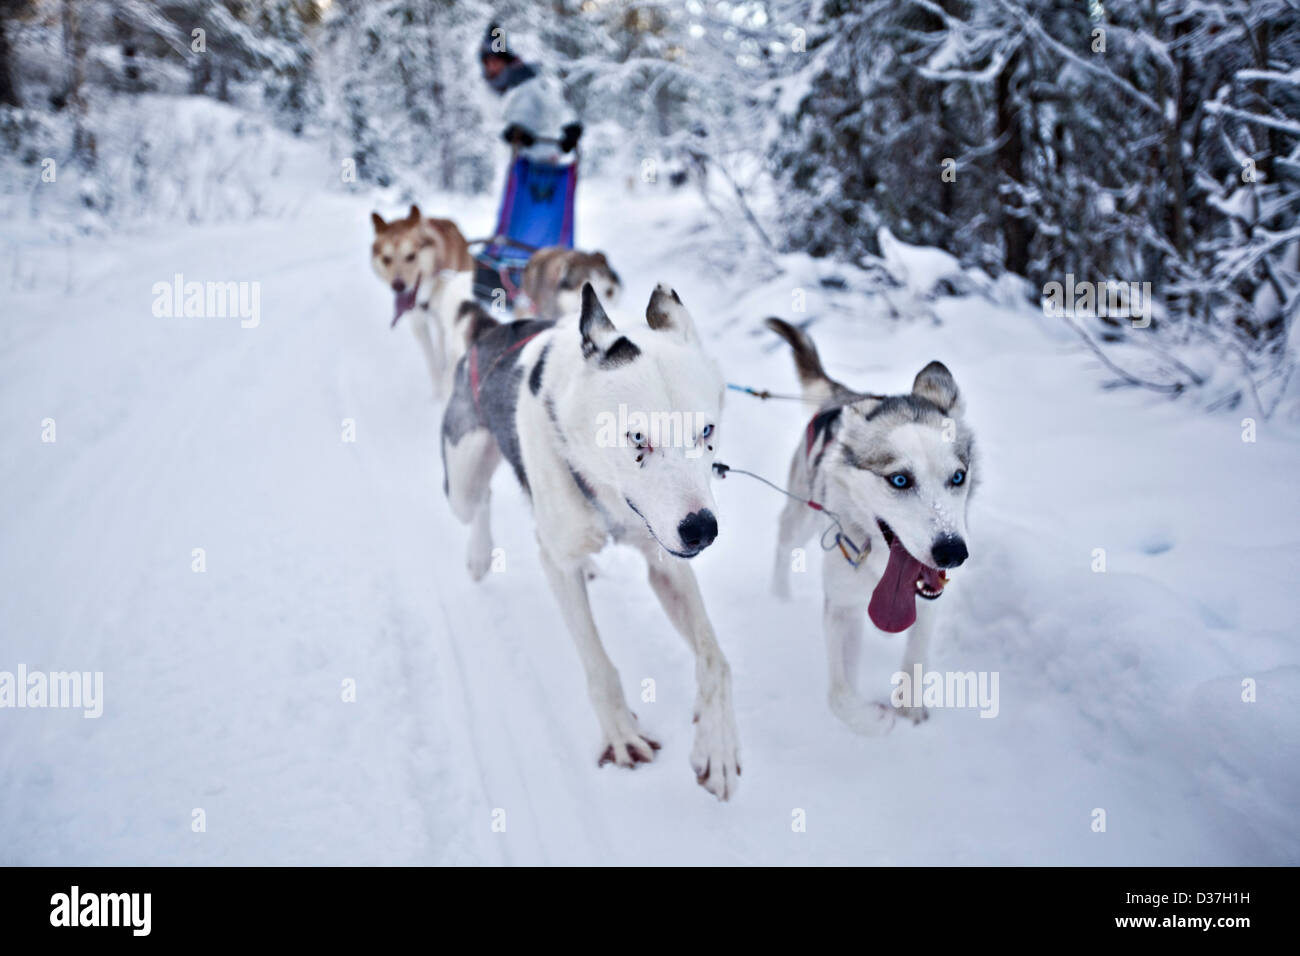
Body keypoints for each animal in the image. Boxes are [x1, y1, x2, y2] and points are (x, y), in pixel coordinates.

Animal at [371, 204, 478, 398]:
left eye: (411, 256)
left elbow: (450, 360)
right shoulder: (418, 324)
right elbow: (431, 361)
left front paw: (446, 389)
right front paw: (437, 391)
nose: (398, 286)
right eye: (386, 259)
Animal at [439, 282, 738, 801]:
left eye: (706, 431)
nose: (702, 528)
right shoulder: (559, 564)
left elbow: (715, 660)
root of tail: (491, 331)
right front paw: (621, 733)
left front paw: (717, 746)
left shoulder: (665, 558)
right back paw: (479, 553)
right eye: (637, 437)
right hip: (463, 479)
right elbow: (597, 662)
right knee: (479, 500)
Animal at [764, 319, 972, 733]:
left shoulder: (928, 601)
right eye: (900, 480)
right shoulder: (842, 606)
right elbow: (839, 697)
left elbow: (917, 650)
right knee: (783, 543)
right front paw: (872, 721)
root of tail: (846, 395)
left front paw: (910, 704)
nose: (953, 552)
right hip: (802, 516)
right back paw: (779, 596)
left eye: (958, 477)